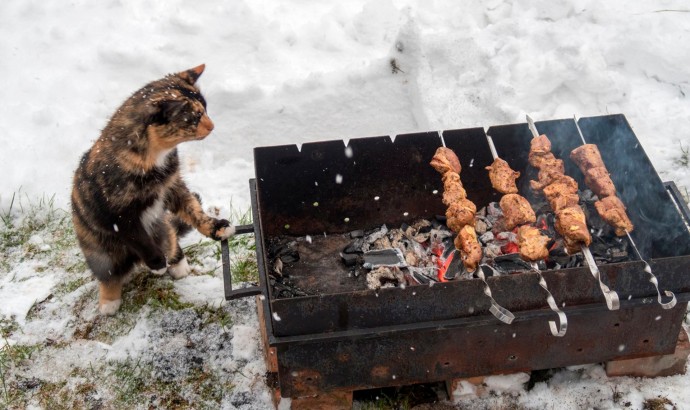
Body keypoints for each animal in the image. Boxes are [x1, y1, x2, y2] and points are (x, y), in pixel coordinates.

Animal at [71, 65, 234, 314]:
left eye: (205, 109)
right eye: (194, 117)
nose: (212, 125)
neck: (152, 159)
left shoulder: (172, 186)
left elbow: (192, 208)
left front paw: (216, 227)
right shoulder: (117, 215)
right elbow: (139, 238)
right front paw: (156, 263)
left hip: (161, 226)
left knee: (171, 238)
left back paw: (178, 264)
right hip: (98, 249)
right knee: (108, 273)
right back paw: (109, 301)